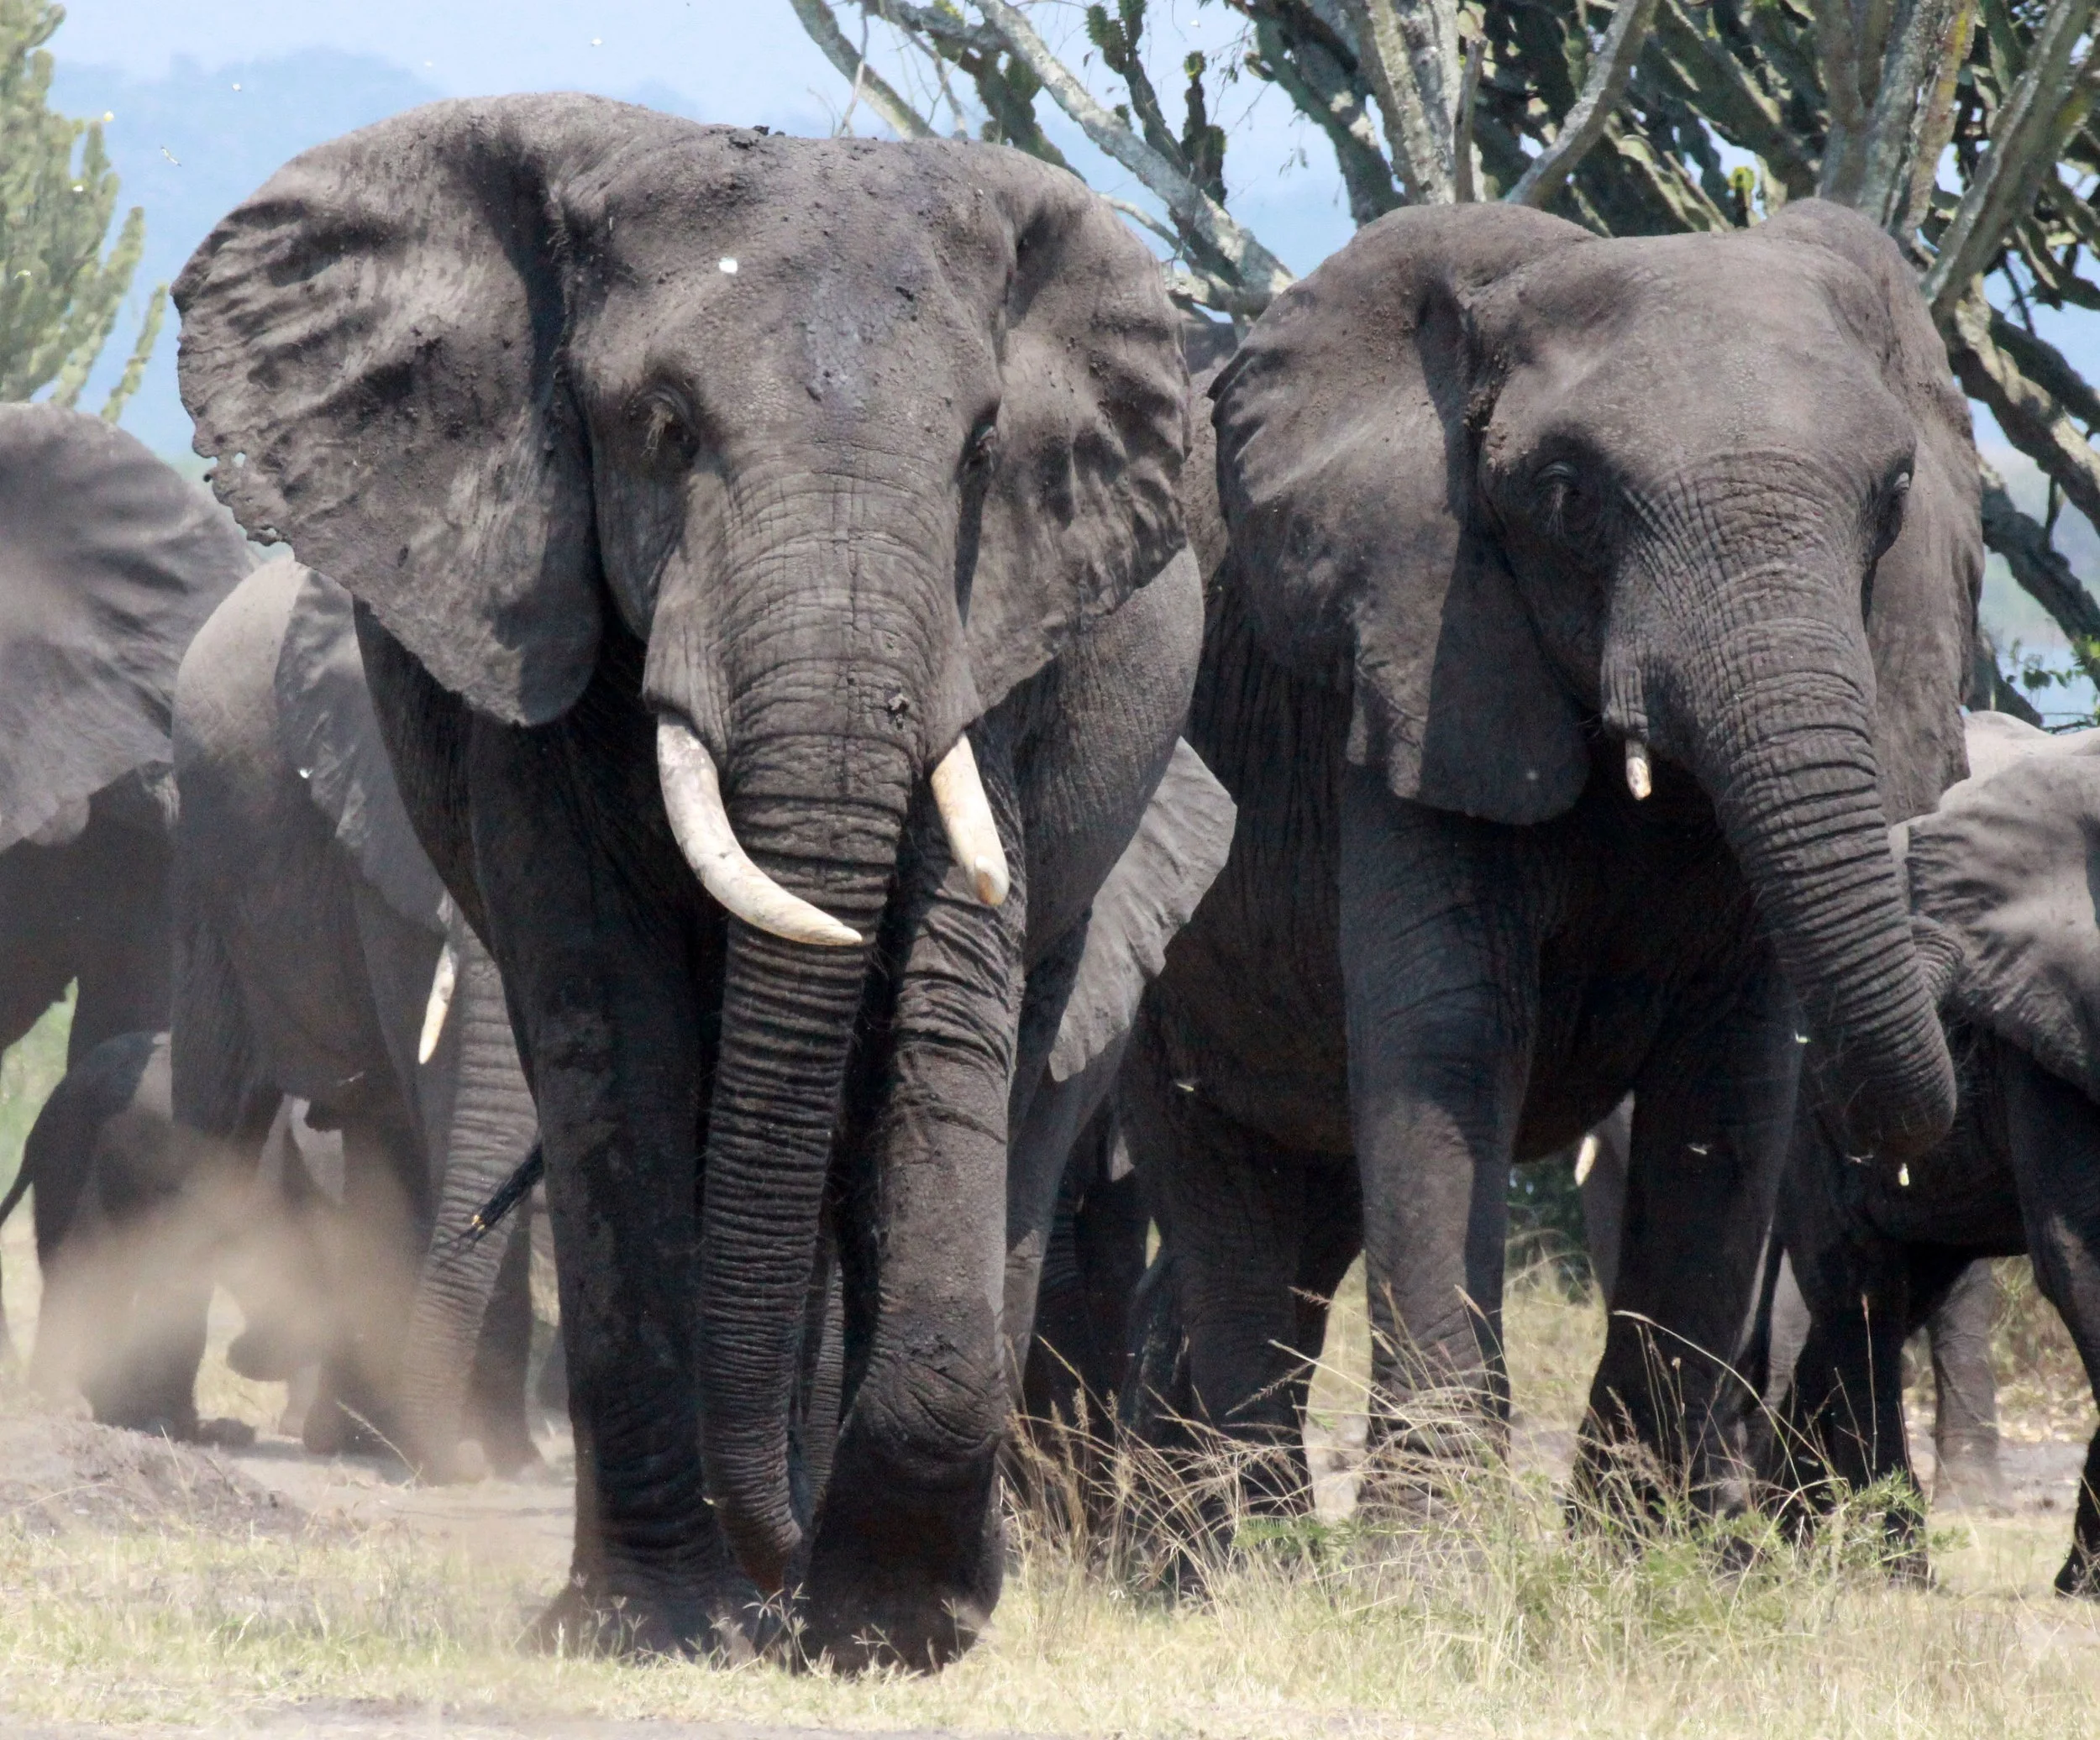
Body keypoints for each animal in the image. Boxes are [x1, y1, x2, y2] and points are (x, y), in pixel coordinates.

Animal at [168, 555, 543, 1479]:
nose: (459, 1465)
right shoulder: (382, 837)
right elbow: (440, 1099)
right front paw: (476, 1456)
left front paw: (504, 1458)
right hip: (202, 865)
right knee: (224, 1119)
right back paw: (176, 1423)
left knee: (375, 1130)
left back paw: (360, 1437)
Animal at [1119, 197, 1978, 1517]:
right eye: (1571, 498)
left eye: (1891, 497)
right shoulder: (1413, 665)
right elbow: (1452, 1040)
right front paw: (1430, 1557)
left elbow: (1730, 1082)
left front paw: (1641, 1546)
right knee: (1224, 1202)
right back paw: (1247, 1553)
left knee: (1304, 1208)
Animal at [1762, 710, 2100, 1593]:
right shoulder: (2052, 1025)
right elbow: (2083, 1257)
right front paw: (2088, 1586)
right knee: (1861, 1291)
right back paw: (1887, 1569)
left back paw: (1768, 1542)